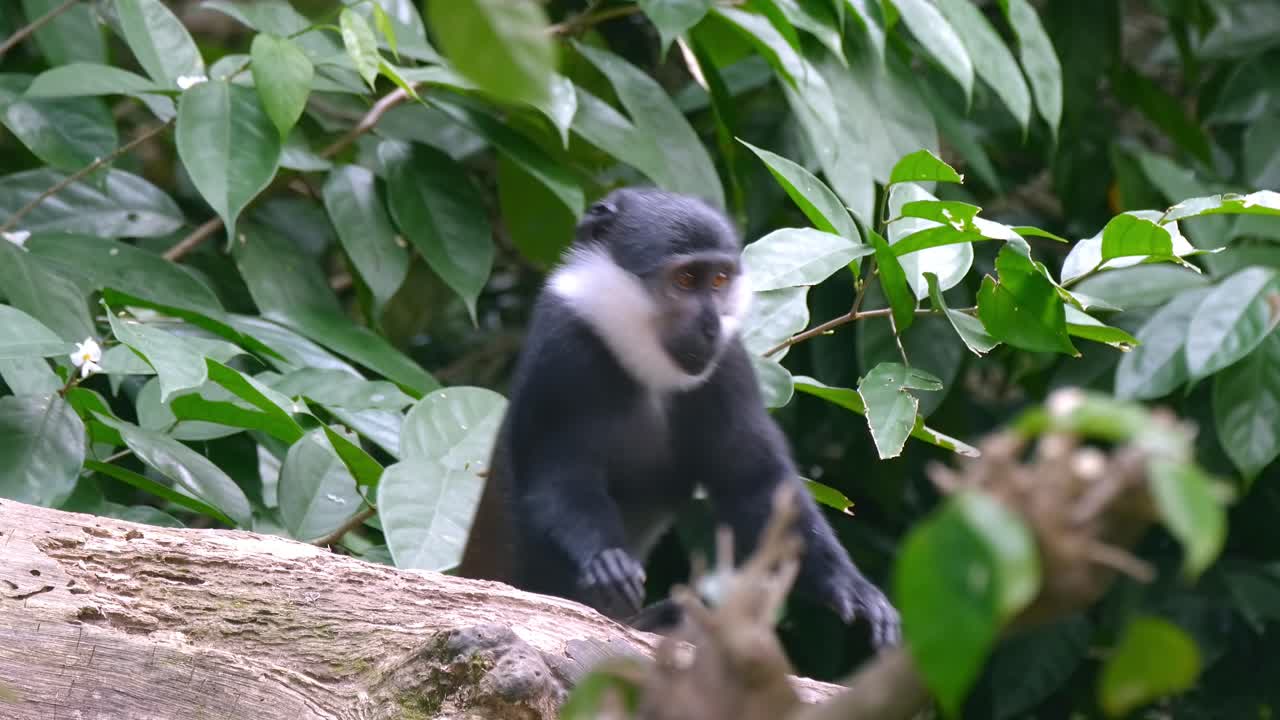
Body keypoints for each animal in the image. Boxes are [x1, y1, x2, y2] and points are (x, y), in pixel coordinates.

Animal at [458, 187, 900, 648]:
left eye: (719, 280)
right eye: (686, 279)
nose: (710, 326)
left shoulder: (728, 364)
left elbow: (756, 484)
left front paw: (851, 588)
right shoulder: (561, 350)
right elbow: (557, 479)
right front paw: (606, 561)